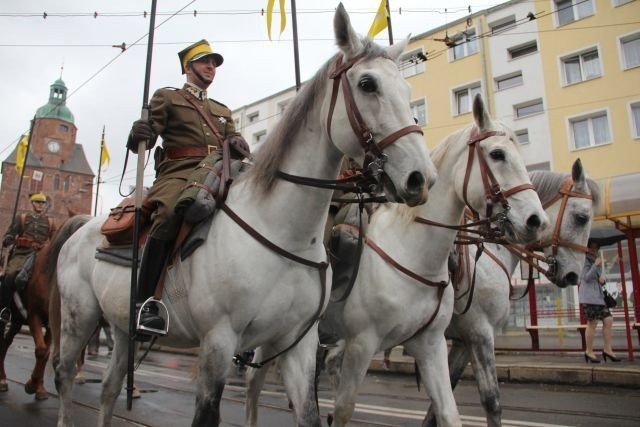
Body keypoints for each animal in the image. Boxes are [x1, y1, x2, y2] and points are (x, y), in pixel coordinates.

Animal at [0, 216, 91, 400]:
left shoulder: (50, 323)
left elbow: (46, 353)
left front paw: (39, 387)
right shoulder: (34, 316)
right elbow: (41, 350)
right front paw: (32, 385)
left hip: (17, 322)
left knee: (6, 343)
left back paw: (4, 379)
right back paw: (2, 380)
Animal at [51, 4, 440, 427]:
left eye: (407, 89)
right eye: (368, 84)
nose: (421, 178)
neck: (284, 230)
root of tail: (83, 228)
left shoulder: (298, 345)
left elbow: (309, 414)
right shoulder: (219, 343)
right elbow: (207, 414)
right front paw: (142, 129)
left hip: (122, 328)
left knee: (108, 387)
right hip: (79, 319)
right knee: (64, 375)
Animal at [246, 94, 552, 427]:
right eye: (497, 154)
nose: (537, 221)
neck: (414, 253)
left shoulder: (435, 343)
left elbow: (449, 411)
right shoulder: (365, 343)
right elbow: (343, 410)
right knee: (254, 382)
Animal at [424, 159, 600, 426]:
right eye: (582, 217)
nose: (573, 276)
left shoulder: (462, 341)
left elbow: (439, 402)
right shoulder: (480, 334)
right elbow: (491, 401)